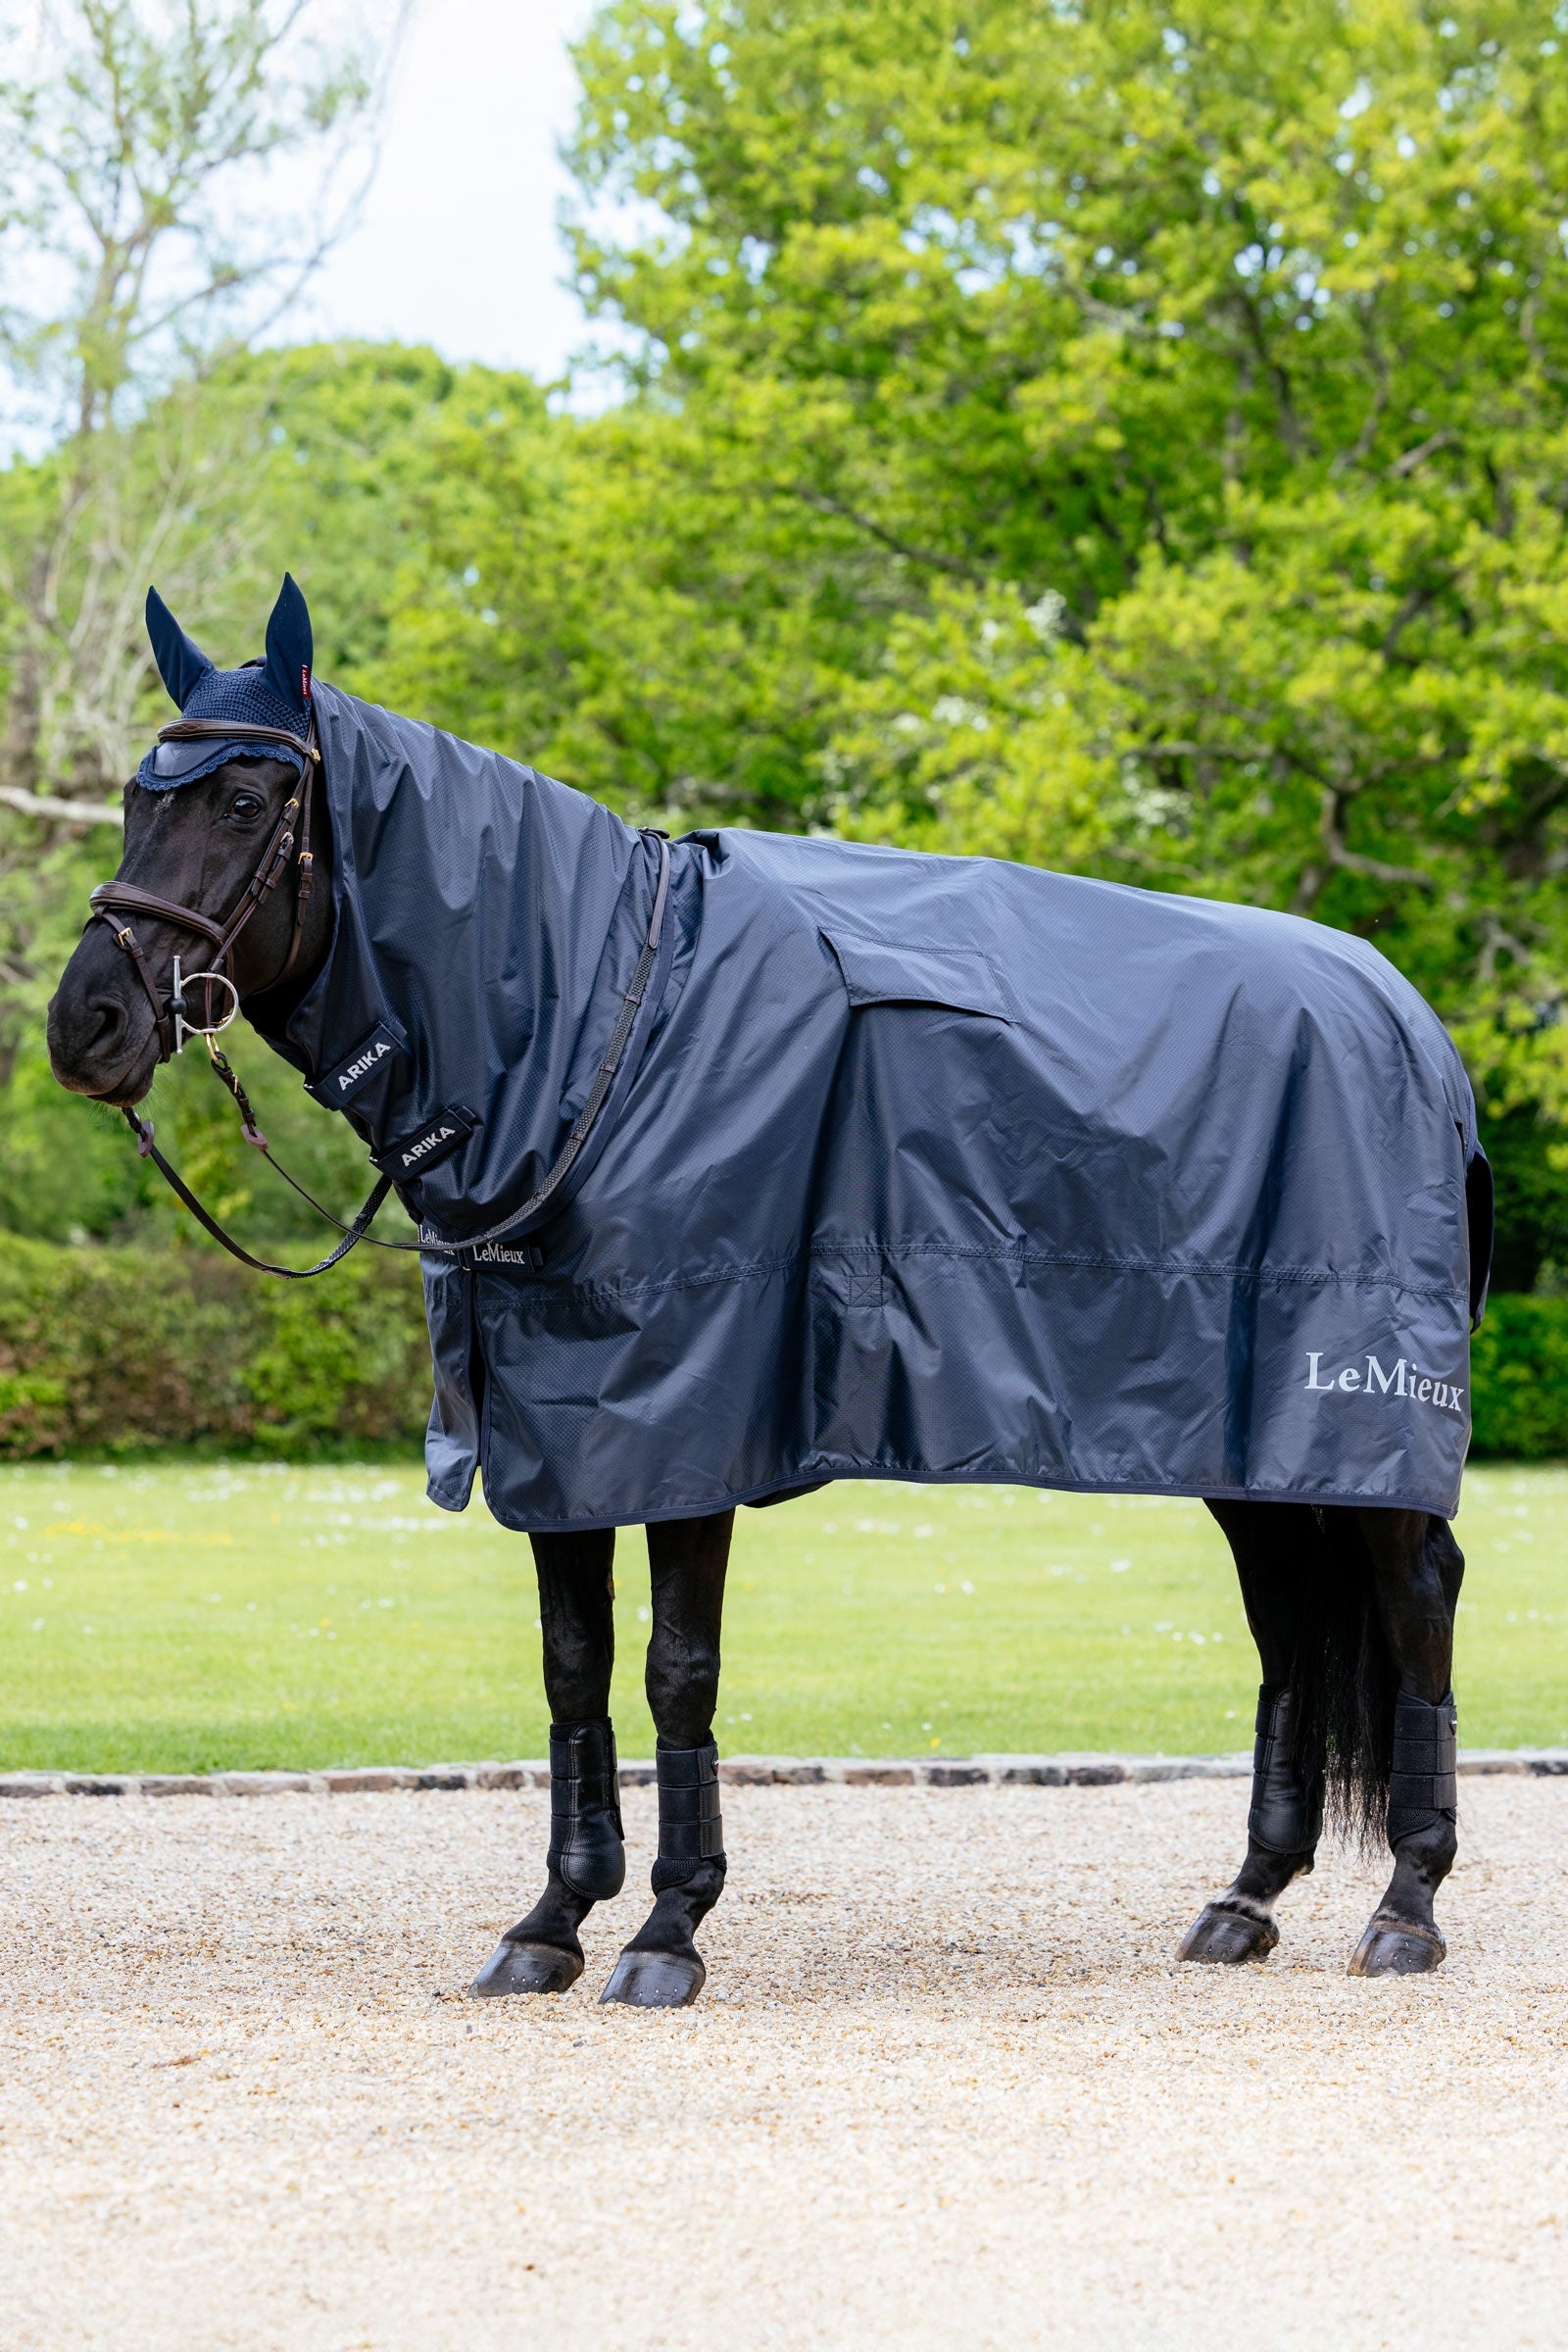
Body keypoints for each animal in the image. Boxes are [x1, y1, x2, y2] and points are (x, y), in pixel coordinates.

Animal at [46, 576, 1489, 2005]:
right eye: (131, 797)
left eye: (244, 802)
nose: (85, 1026)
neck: (610, 1028)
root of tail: (1411, 1022)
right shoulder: (559, 1441)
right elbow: (573, 1671)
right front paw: (552, 1921)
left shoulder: (689, 1431)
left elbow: (676, 1674)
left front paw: (667, 1929)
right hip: (1247, 1445)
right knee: (1288, 1622)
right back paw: (1246, 1900)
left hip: (1358, 1411)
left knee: (1416, 1600)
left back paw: (1408, 1907)